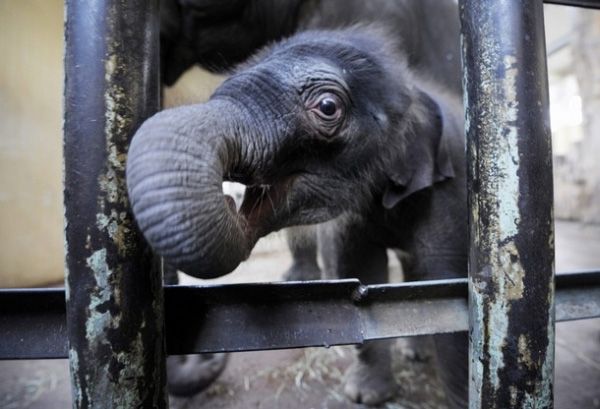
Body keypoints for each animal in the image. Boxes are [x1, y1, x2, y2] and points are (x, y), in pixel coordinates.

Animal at [126, 27, 468, 406]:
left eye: (328, 107)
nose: (230, 199)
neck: (410, 88)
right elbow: (361, 271)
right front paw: (365, 395)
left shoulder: (447, 196)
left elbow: (450, 292)